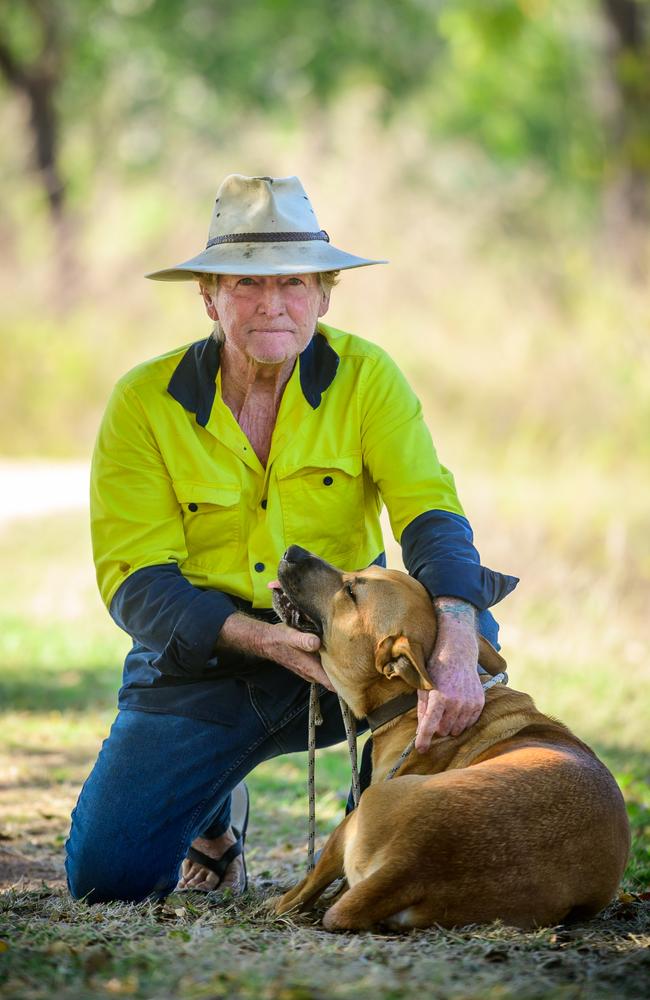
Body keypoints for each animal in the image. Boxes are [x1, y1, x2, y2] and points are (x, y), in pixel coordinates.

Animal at [270, 548, 628, 928]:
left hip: (357, 815)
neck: (408, 703)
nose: (292, 551)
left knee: (301, 895)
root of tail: (411, 862)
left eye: (351, 591)